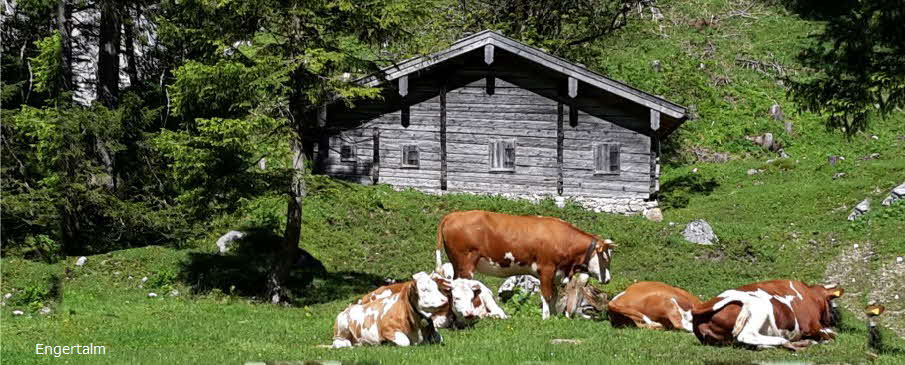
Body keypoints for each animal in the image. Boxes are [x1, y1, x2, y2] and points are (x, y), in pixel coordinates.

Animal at [432, 210, 616, 318]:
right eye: (606, 258)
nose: (608, 279)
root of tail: (453, 215)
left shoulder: (555, 273)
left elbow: (555, 295)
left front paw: (554, 316)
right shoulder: (546, 269)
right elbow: (547, 295)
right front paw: (546, 317)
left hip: (457, 264)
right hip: (466, 265)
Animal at [688, 278, 844, 350]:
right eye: (832, 305)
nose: (835, 319)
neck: (811, 295)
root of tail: (700, 309)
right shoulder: (812, 324)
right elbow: (832, 335)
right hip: (759, 306)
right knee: (746, 336)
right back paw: (790, 342)